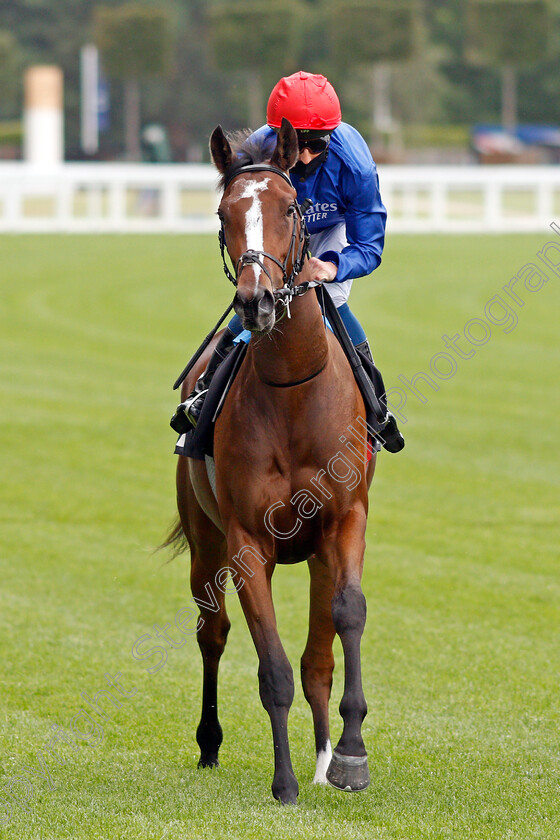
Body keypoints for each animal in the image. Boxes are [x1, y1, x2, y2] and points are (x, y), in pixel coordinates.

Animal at [166, 116, 376, 800]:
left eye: (289, 207)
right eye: (223, 212)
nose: (255, 302)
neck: (292, 390)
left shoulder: (344, 520)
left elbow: (344, 619)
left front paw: (349, 755)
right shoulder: (245, 542)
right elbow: (272, 666)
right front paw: (284, 784)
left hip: (314, 552)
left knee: (319, 656)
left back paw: (324, 754)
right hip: (205, 539)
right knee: (213, 634)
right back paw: (211, 743)